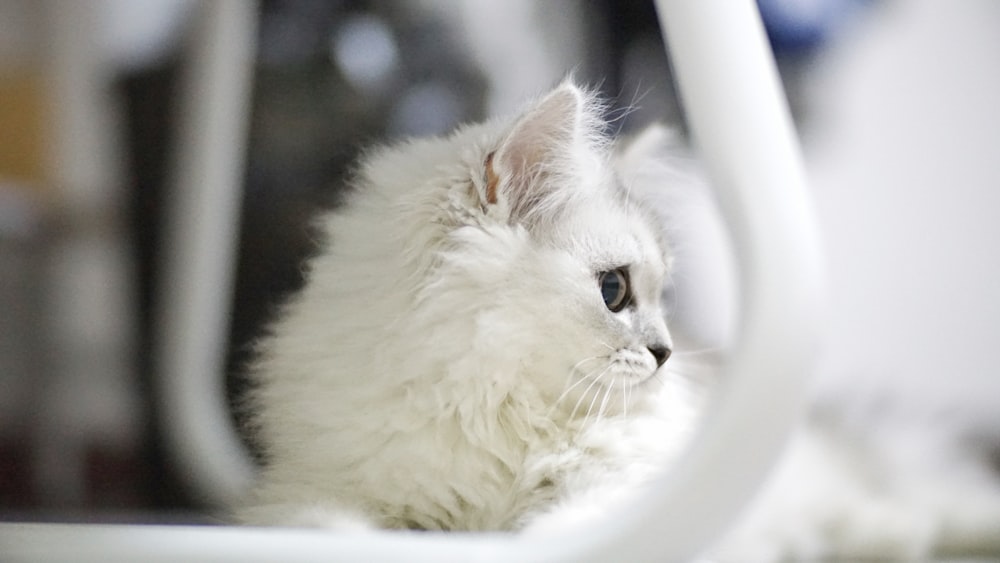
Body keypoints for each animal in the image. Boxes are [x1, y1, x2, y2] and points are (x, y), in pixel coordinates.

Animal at [236, 81, 704, 532]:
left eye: (662, 298)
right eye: (613, 290)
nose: (666, 353)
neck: (488, 409)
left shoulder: (630, 484)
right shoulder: (305, 492)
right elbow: (328, 526)